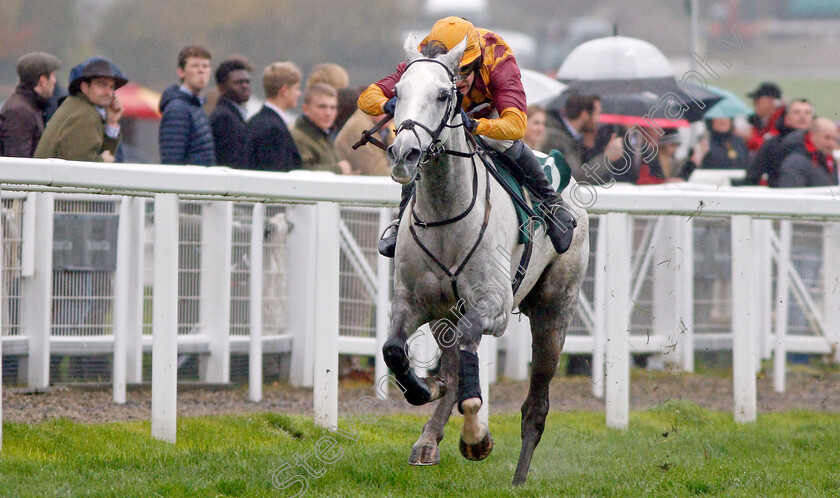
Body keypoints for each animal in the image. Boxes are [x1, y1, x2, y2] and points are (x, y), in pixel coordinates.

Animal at [382, 36, 592, 486]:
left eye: (443, 95)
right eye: (397, 94)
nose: (404, 154)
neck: (446, 213)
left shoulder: (492, 305)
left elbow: (468, 359)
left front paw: (477, 436)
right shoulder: (412, 301)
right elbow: (394, 350)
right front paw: (423, 389)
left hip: (554, 313)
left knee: (535, 405)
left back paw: (518, 478)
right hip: (446, 313)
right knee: (451, 363)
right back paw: (428, 439)